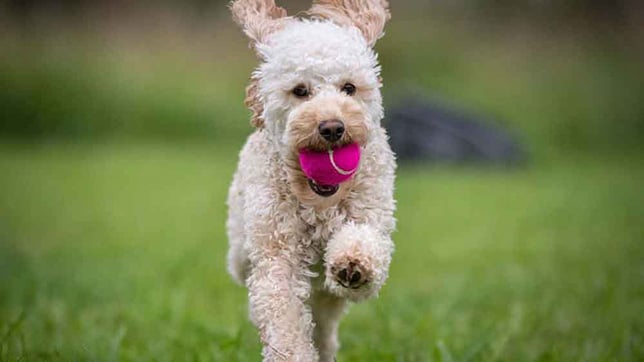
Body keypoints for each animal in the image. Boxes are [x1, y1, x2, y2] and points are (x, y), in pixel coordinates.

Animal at [226, 1, 394, 360]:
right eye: (300, 91)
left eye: (349, 87)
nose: (332, 127)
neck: (319, 204)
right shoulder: (276, 254)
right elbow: (282, 315)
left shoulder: (372, 212)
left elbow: (365, 245)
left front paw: (351, 262)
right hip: (240, 246)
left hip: (327, 299)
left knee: (325, 325)